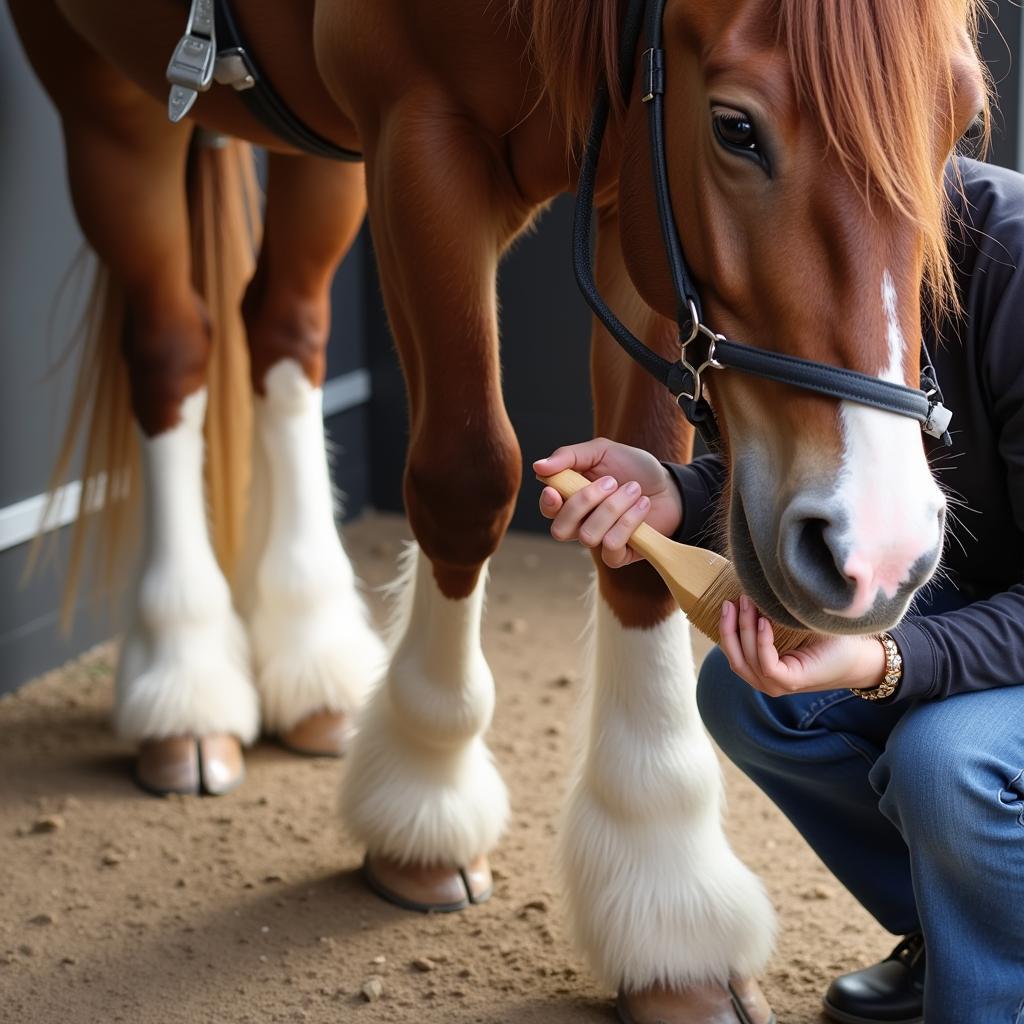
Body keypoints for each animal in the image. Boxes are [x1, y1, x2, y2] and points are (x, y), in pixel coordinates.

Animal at [8, 0, 983, 1019]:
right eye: (734, 127)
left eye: (960, 125)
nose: (880, 553)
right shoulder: (420, 138)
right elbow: (466, 476)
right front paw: (425, 795)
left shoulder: (626, 182)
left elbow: (640, 524)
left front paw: (666, 898)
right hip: (104, 90)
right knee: (171, 348)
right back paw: (185, 679)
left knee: (284, 328)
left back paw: (311, 657)